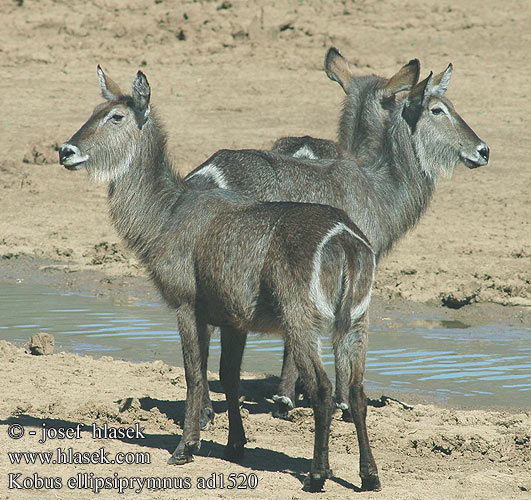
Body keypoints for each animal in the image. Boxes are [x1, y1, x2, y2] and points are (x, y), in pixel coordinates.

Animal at [60, 66, 378, 492]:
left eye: (116, 116)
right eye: (94, 110)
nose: (66, 151)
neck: (167, 213)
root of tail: (345, 237)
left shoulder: (186, 305)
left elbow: (195, 375)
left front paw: (185, 448)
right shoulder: (234, 319)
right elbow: (228, 377)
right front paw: (235, 447)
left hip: (302, 319)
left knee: (323, 388)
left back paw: (316, 475)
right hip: (355, 319)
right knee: (357, 391)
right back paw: (370, 476)